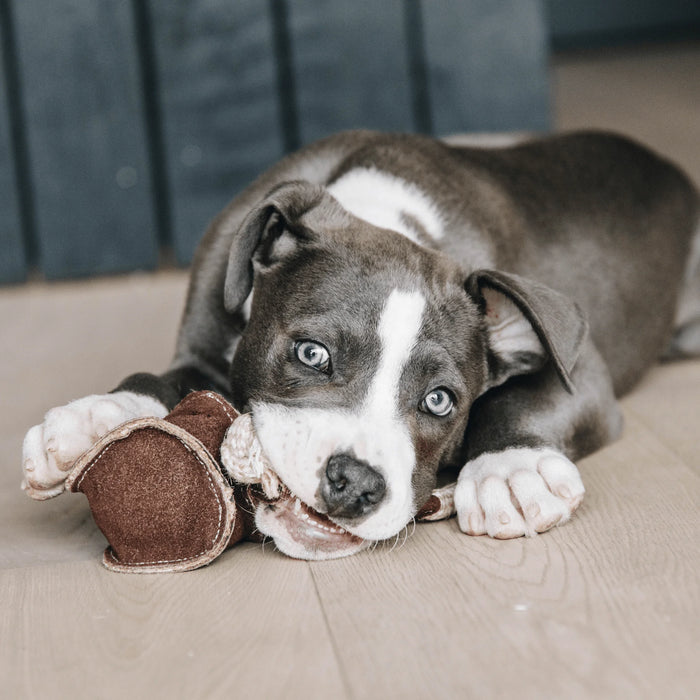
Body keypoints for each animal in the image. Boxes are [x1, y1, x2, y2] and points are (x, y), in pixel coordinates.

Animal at [21, 130, 700, 556]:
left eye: (440, 400)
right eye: (311, 353)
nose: (353, 483)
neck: (384, 213)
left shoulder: (585, 372)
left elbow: (519, 397)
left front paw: (512, 468)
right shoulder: (202, 351)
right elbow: (161, 379)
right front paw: (93, 418)